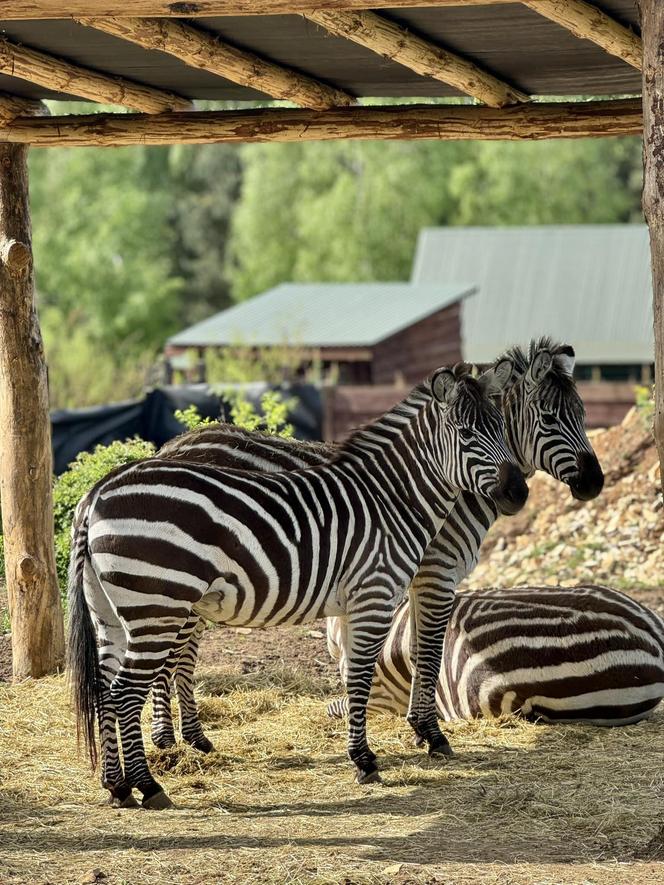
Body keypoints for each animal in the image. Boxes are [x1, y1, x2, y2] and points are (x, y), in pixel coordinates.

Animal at [67, 360, 524, 808]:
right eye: (466, 434)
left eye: (502, 428)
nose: (517, 492)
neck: (391, 498)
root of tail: (97, 493)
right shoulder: (376, 593)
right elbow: (363, 675)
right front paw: (365, 760)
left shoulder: (361, 601)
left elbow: (356, 673)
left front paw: (369, 752)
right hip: (156, 604)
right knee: (126, 692)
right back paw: (148, 786)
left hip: (112, 610)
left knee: (105, 687)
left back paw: (117, 787)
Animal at [145, 338, 600, 760]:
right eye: (550, 419)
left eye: (582, 415)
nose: (595, 483)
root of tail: (172, 446)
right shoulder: (436, 572)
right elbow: (428, 651)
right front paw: (431, 734)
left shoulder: (414, 578)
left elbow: (415, 649)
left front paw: (418, 729)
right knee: (173, 653)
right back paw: (169, 740)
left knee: (179, 652)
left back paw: (190, 738)